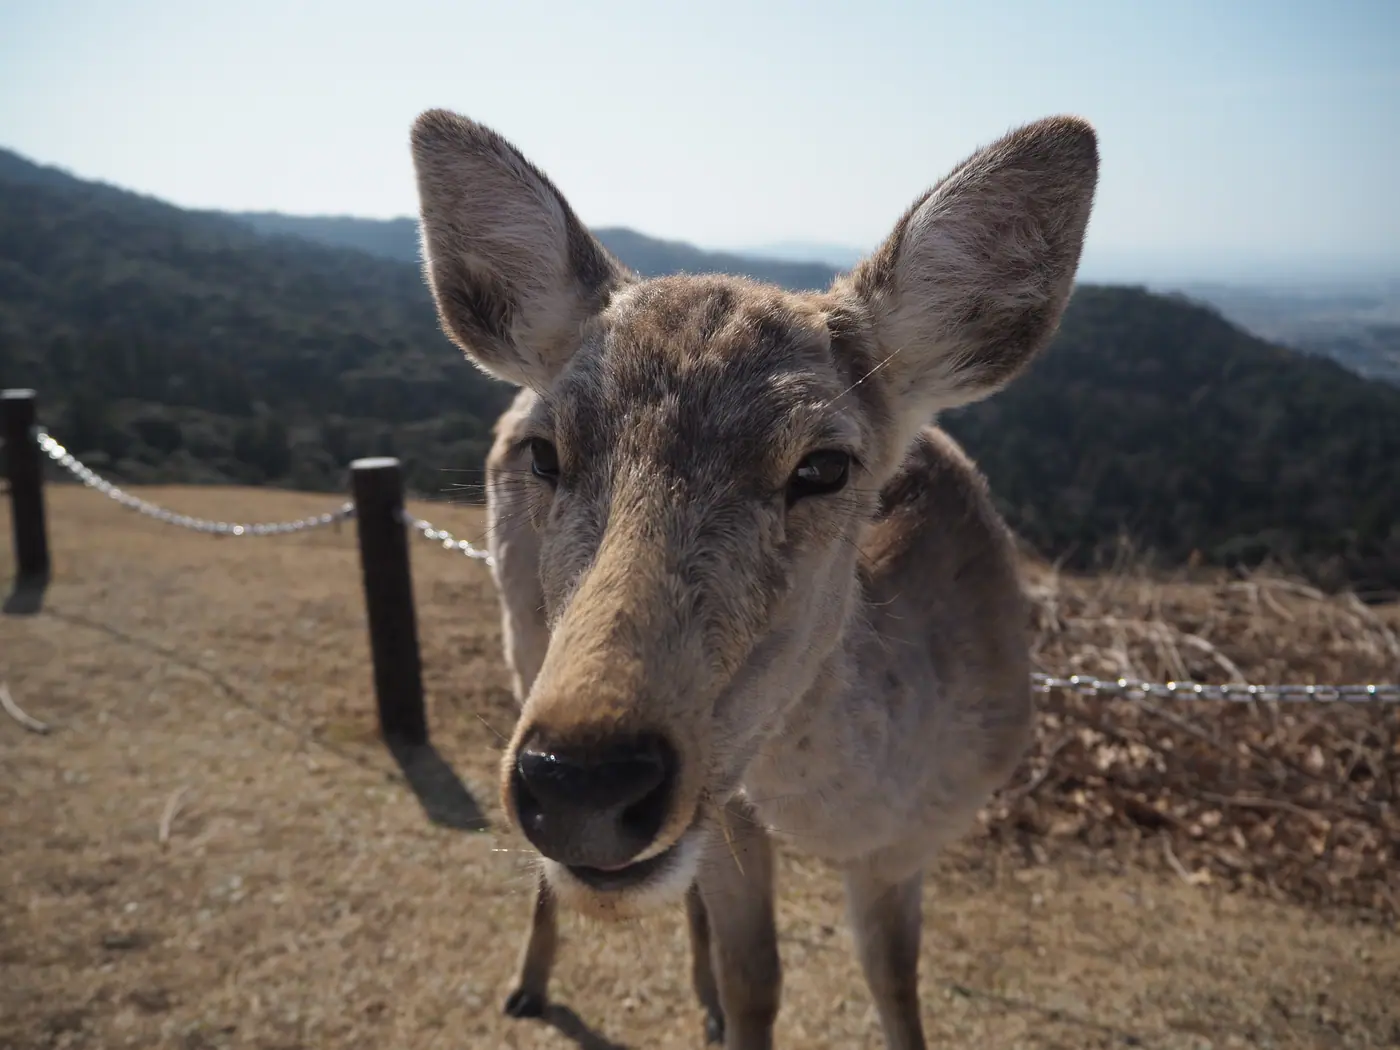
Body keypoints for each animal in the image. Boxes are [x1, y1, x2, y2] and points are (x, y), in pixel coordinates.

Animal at [409, 107, 1098, 1050]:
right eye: (546, 453)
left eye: (825, 465)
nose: (580, 781)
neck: (831, 812)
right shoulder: (730, 804)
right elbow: (758, 982)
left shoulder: (910, 841)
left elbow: (895, 984)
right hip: (523, 641)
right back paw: (528, 985)